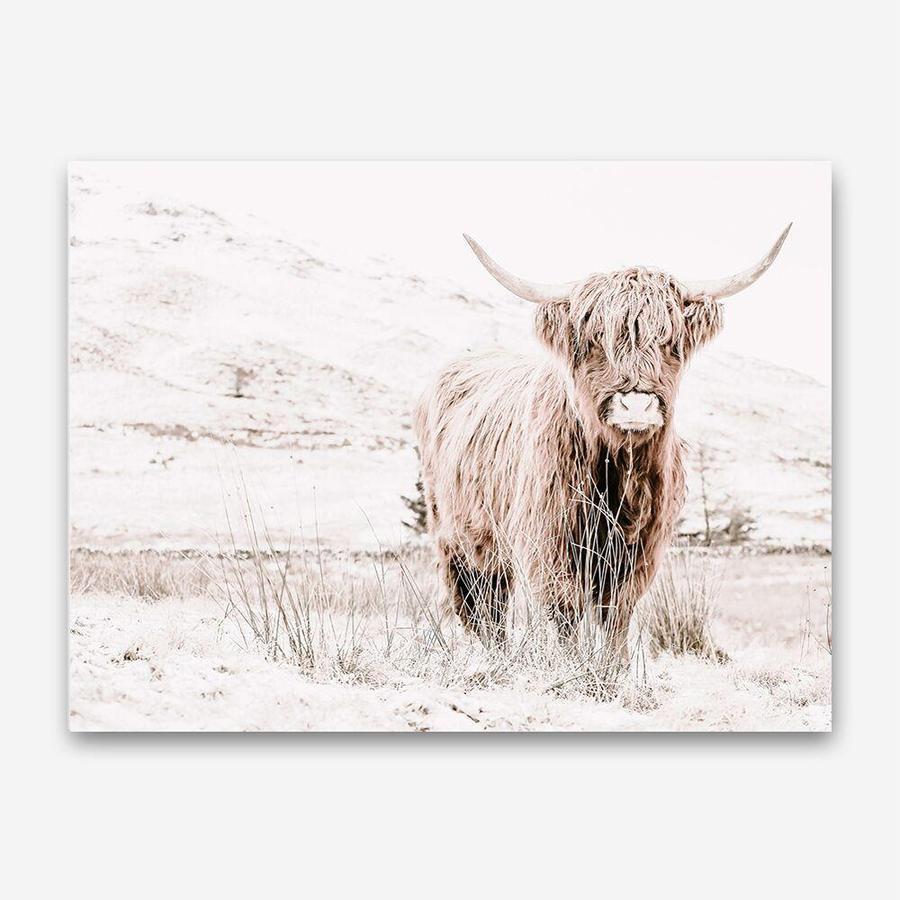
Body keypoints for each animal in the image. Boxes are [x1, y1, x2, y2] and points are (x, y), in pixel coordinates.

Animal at [413, 225, 791, 657]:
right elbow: (565, 612)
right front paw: (572, 666)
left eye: (668, 342)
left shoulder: (639, 552)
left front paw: (614, 667)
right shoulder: (550, 544)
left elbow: (616, 616)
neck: (620, 471)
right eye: (596, 343)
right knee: (478, 605)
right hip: (457, 538)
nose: (636, 404)